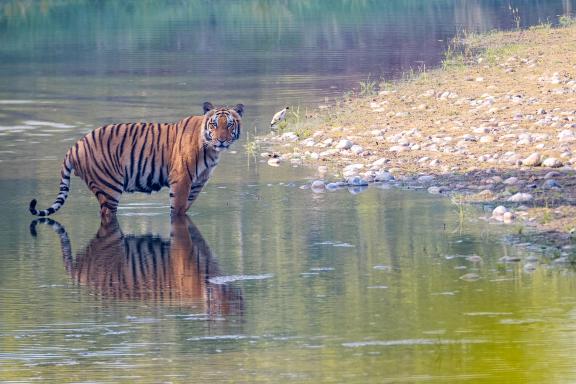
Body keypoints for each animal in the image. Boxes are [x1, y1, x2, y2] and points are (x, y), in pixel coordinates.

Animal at [28, 101, 244, 222]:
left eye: (229, 125)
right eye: (214, 124)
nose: (221, 140)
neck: (211, 150)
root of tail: (75, 145)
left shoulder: (197, 183)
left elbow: (185, 209)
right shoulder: (181, 179)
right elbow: (177, 209)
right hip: (109, 187)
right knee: (107, 214)